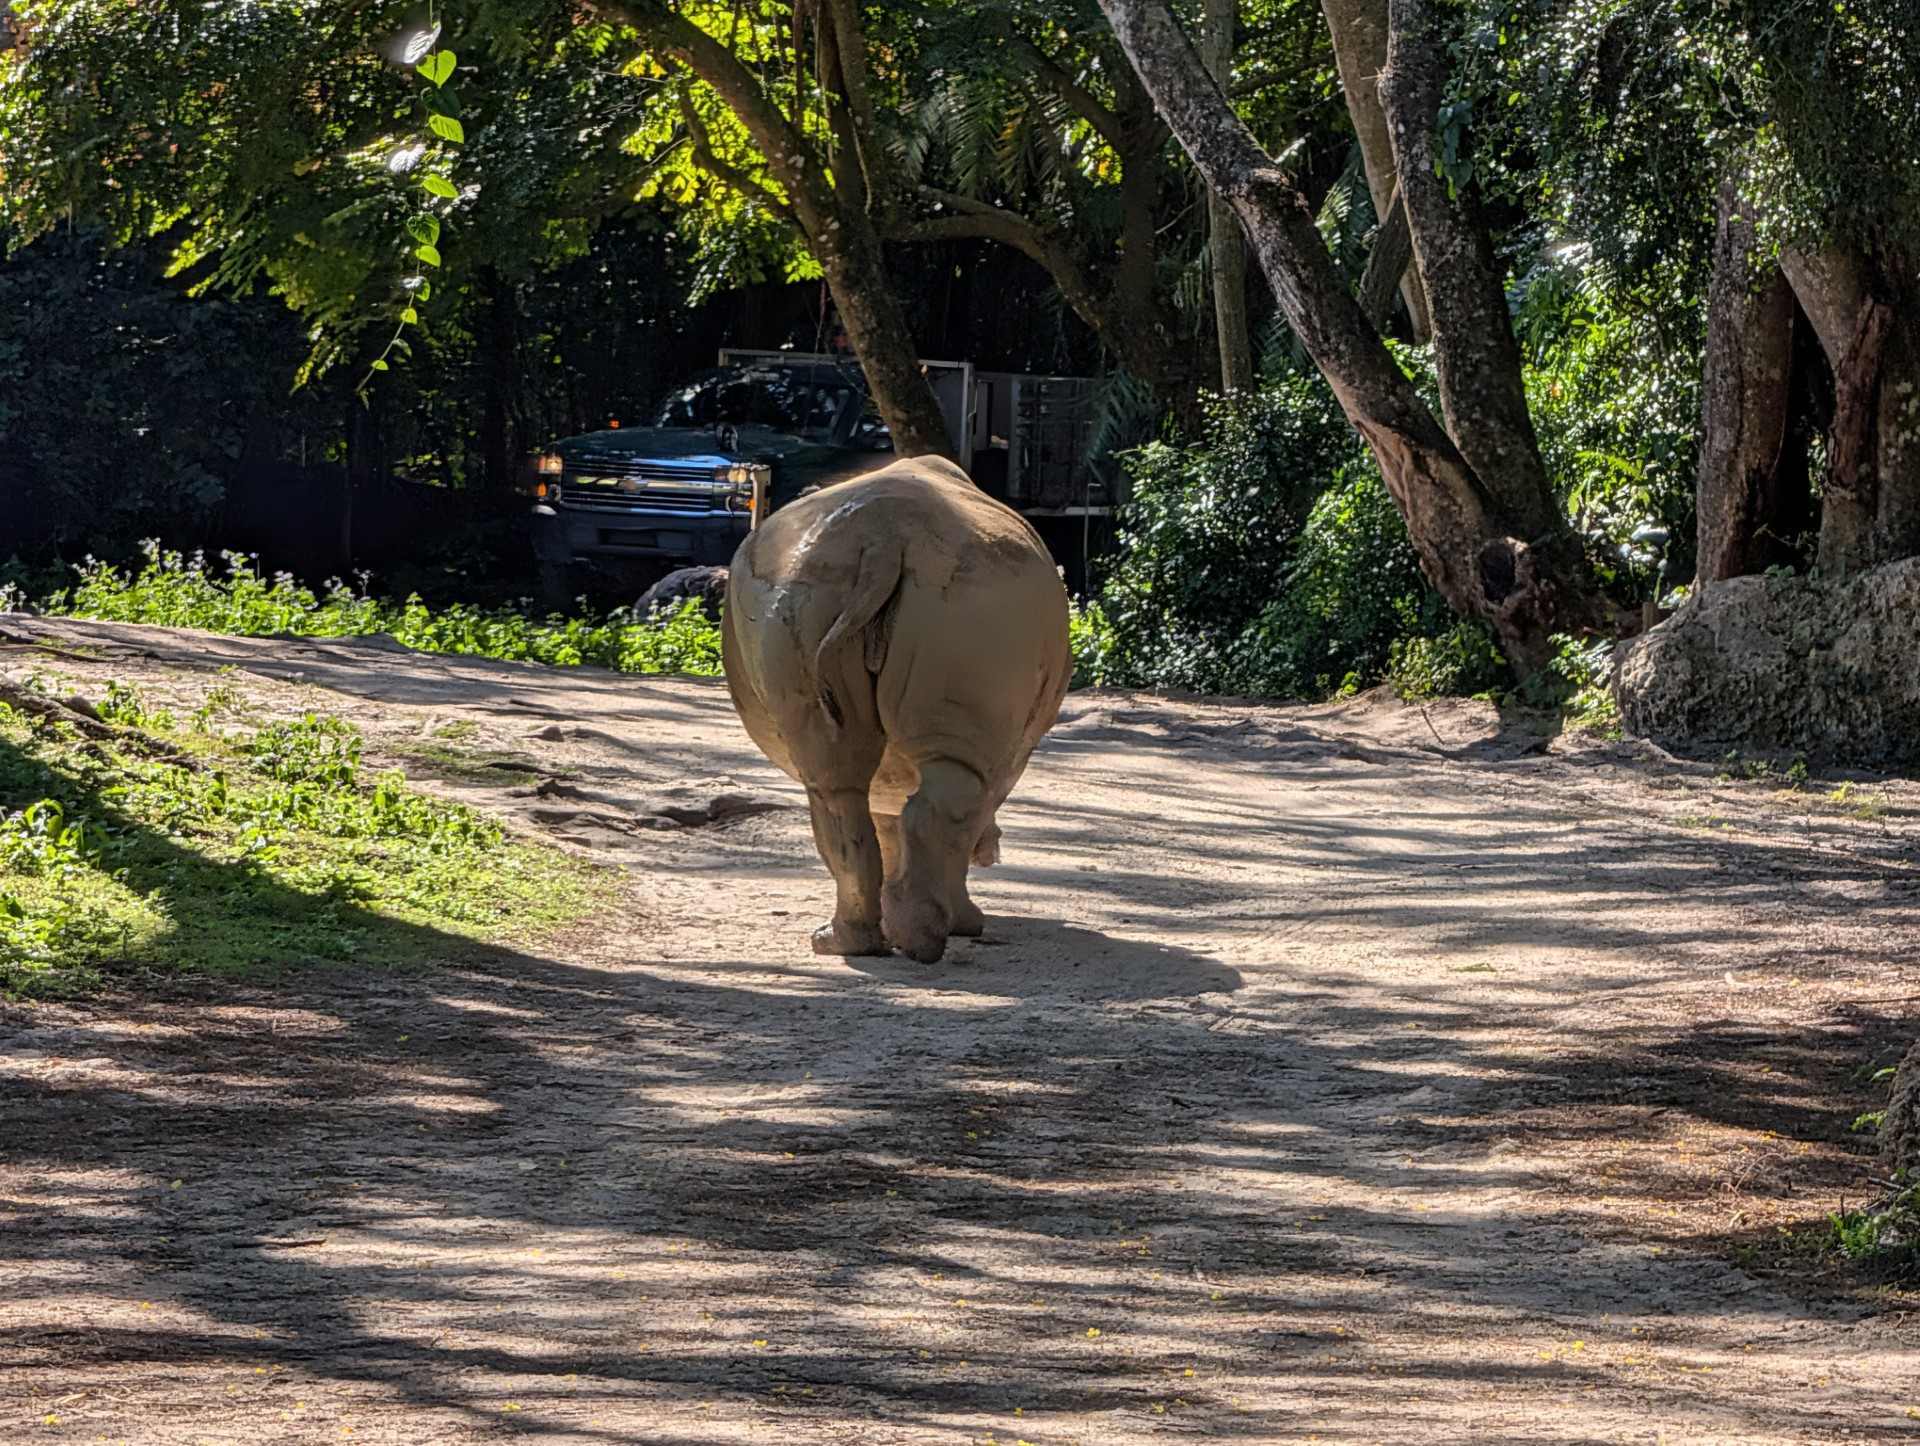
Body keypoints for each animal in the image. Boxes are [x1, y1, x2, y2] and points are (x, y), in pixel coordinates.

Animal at [722, 455, 1071, 963]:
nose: (994, 854)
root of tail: (882, 540)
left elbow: (892, 824)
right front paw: (963, 922)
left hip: (840, 590)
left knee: (835, 786)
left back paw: (862, 942)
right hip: (971, 598)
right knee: (888, 787)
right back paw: (905, 938)